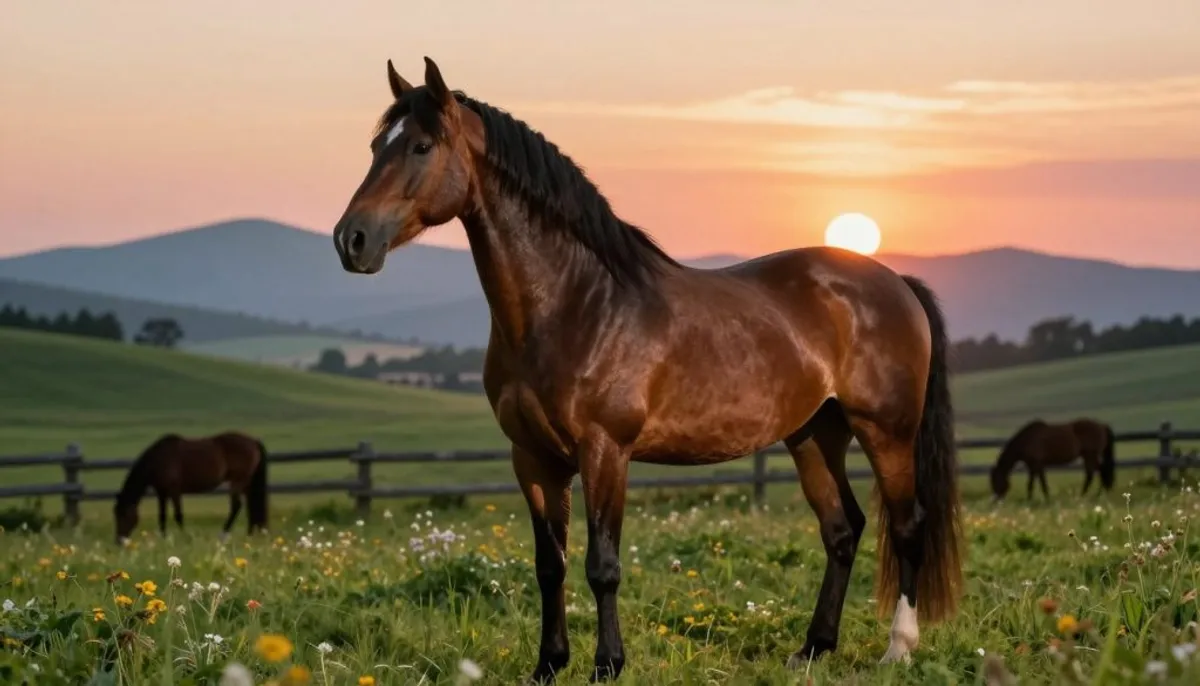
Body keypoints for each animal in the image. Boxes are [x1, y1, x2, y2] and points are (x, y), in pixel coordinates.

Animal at [113, 431, 269, 544]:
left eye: (124, 515)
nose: (119, 541)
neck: (159, 459)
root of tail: (254, 441)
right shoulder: (162, 493)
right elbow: (162, 516)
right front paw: (163, 539)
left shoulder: (174, 491)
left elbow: (178, 515)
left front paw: (185, 538)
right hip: (246, 482)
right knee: (250, 504)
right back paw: (249, 534)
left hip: (237, 481)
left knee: (237, 506)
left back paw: (223, 535)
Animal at [330, 57, 963, 682]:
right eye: (375, 146)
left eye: (420, 146)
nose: (350, 240)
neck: (576, 303)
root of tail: (893, 282)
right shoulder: (532, 457)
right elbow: (549, 564)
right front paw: (548, 664)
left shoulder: (606, 450)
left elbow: (601, 564)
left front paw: (607, 665)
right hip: (813, 434)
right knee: (842, 529)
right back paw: (812, 649)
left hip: (886, 433)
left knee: (907, 527)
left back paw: (898, 648)